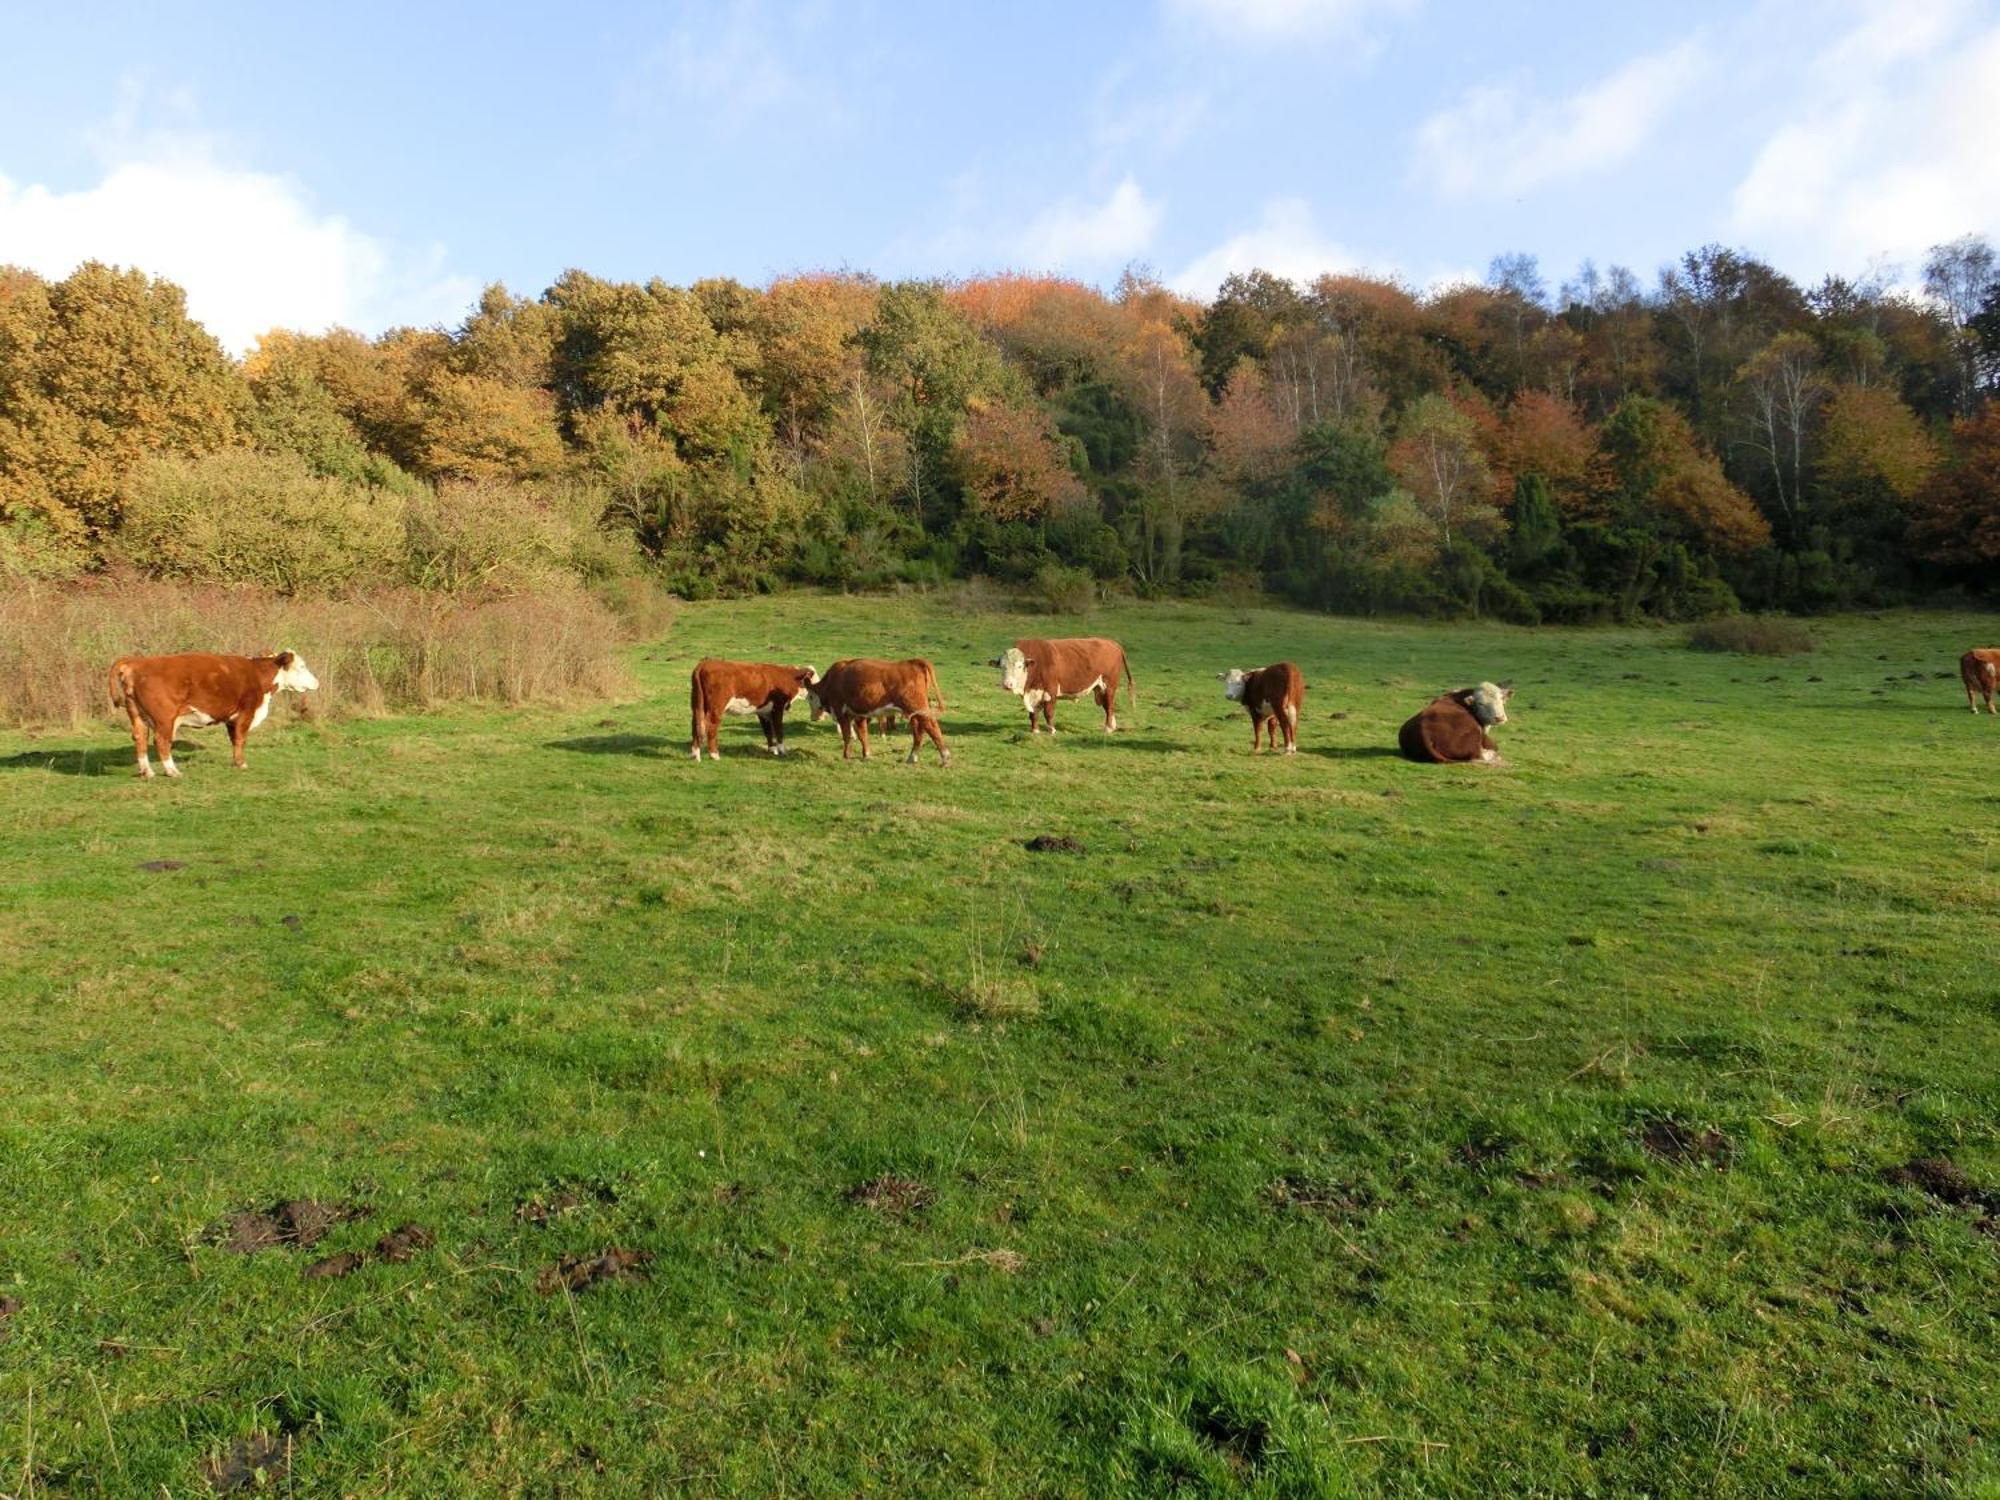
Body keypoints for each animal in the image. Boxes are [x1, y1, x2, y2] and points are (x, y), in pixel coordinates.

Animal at [684, 660, 816, 764]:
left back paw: (695, 754)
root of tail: (704, 663)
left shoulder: (763, 711)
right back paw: (714, 755)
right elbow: (779, 730)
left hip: (697, 705)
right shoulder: (777, 708)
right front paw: (782, 751)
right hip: (716, 707)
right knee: (711, 726)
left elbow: (768, 731)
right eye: (813, 681)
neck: (787, 678)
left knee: (696, 724)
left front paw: (772, 750)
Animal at [800, 660, 948, 768]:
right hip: (915, 713)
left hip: (917, 708)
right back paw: (912, 758)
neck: (833, 680)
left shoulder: (842, 713)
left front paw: (846, 755)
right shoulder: (859, 715)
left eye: (810, 697)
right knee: (919, 732)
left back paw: (945, 758)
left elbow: (847, 736)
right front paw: (866, 754)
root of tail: (914, 662)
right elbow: (862, 735)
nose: (813, 718)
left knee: (932, 727)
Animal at [992, 636, 1136, 736]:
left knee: (1110, 706)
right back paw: (1113, 726)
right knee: (1108, 706)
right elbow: (1033, 713)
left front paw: (1052, 730)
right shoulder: (1033, 693)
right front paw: (1035, 730)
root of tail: (1112, 643)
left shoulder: (1050, 691)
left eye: (1019, 666)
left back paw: (1108, 728)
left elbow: (1048, 712)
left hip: (1109, 685)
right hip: (1100, 688)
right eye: (1002, 666)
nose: (1007, 684)